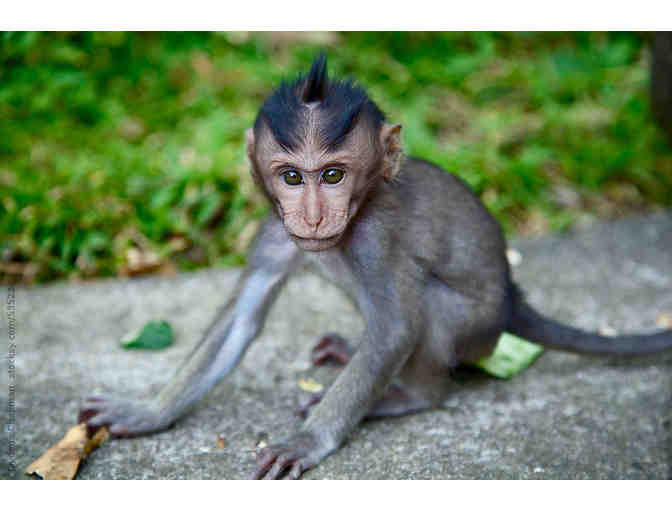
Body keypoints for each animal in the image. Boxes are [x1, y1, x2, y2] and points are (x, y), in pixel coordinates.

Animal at [79, 54, 672, 479]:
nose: (314, 216)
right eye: (292, 177)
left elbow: (396, 328)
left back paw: (409, 395)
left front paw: (308, 440)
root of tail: (513, 298)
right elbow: (241, 322)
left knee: (427, 309)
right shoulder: (274, 232)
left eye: (334, 175)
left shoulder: (374, 240)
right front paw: (148, 411)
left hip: (477, 327)